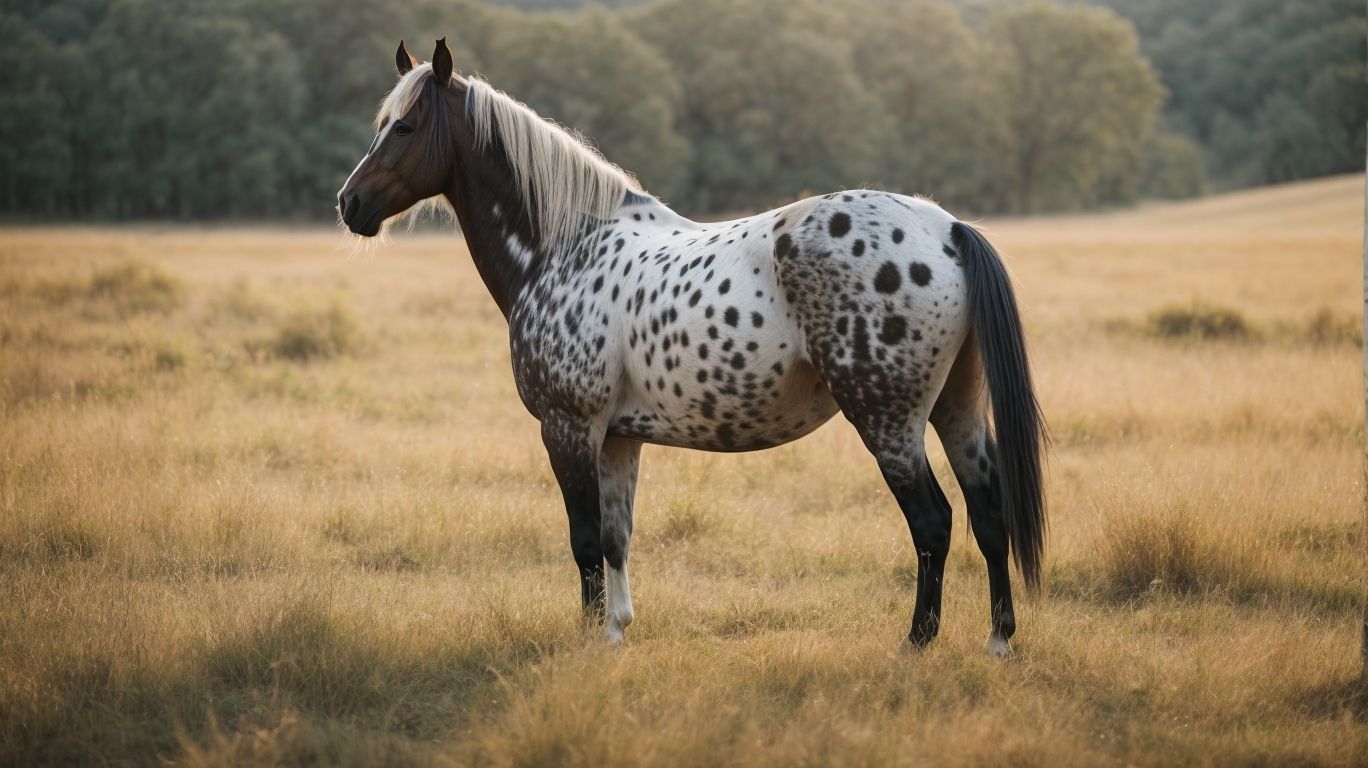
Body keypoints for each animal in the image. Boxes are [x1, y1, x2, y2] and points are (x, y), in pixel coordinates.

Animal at [337, 39, 1046, 654]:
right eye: (380, 123)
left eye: (405, 127)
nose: (349, 204)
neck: (565, 247)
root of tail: (946, 229)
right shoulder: (619, 438)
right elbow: (617, 538)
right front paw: (617, 631)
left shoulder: (568, 428)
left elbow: (584, 539)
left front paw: (589, 639)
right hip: (957, 411)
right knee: (989, 516)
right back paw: (999, 640)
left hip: (887, 421)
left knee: (934, 523)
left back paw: (917, 643)